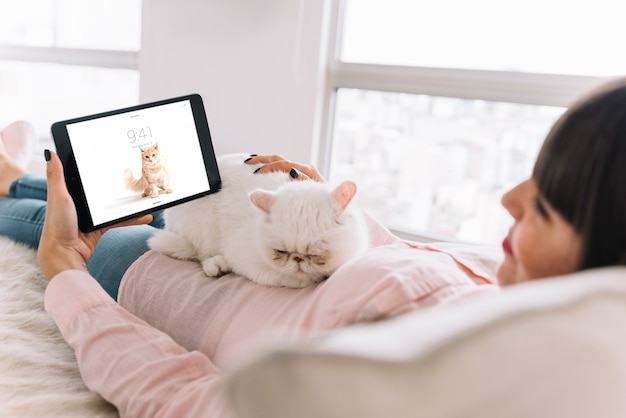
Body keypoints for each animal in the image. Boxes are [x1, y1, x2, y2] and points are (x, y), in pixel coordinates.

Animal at [147, 153, 368, 288]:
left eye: (316, 254)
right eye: (280, 252)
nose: (297, 259)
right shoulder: (243, 256)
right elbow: (288, 278)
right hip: (201, 228)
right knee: (200, 253)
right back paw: (216, 265)